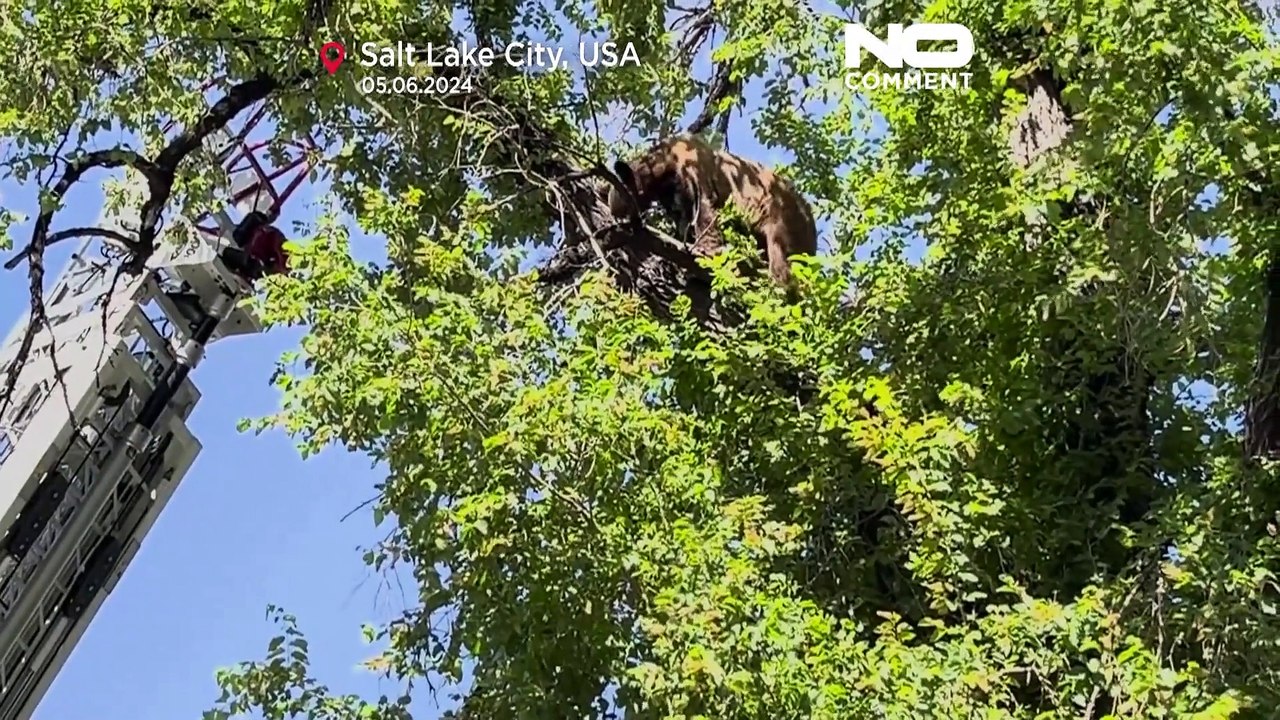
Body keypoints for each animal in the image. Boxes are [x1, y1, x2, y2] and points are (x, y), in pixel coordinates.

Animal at [606, 133, 818, 296]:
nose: (616, 218)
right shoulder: (673, 194)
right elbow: (684, 221)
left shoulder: (692, 168)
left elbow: (705, 211)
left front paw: (706, 254)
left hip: (783, 218)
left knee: (781, 257)